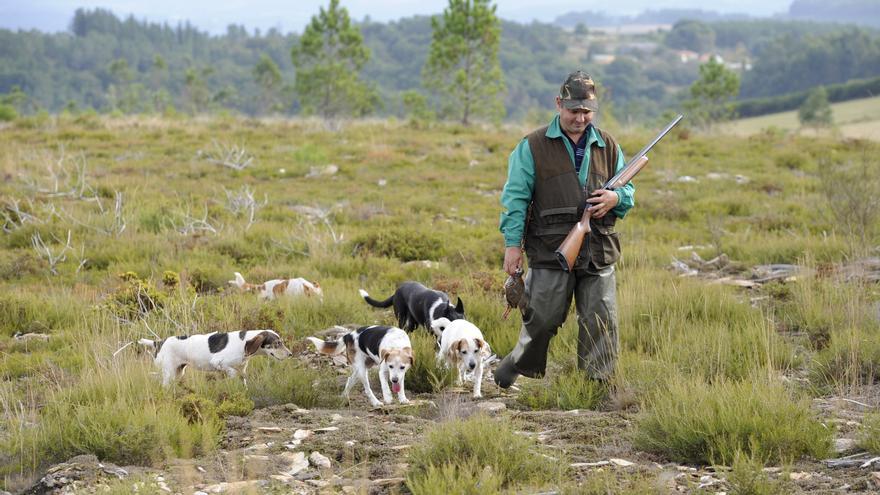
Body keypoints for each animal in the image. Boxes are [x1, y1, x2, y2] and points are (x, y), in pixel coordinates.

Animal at [138, 330, 292, 388]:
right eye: (277, 343)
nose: (290, 354)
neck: (244, 343)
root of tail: (158, 342)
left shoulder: (242, 369)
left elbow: (243, 380)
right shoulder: (218, 362)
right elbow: (233, 373)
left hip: (178, 372)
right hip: (169, 373)